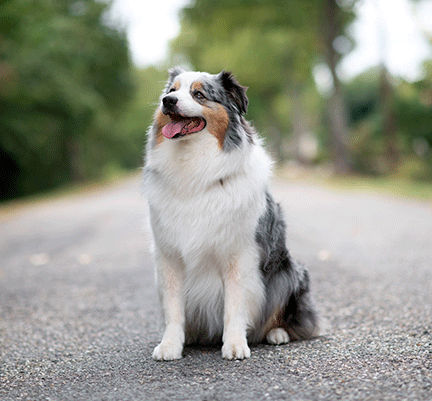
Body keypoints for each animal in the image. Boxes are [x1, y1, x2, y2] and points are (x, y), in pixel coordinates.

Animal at [144, 68, 318, 360]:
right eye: (171, 91)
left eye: (198, 94)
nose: (168, 102)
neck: (195, 170)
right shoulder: (169, 256)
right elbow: (173, 308)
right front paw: (170, 345)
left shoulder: (239, 254)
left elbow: (235, 305)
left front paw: (235, 344)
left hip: (289, 273)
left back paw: (277, 334)